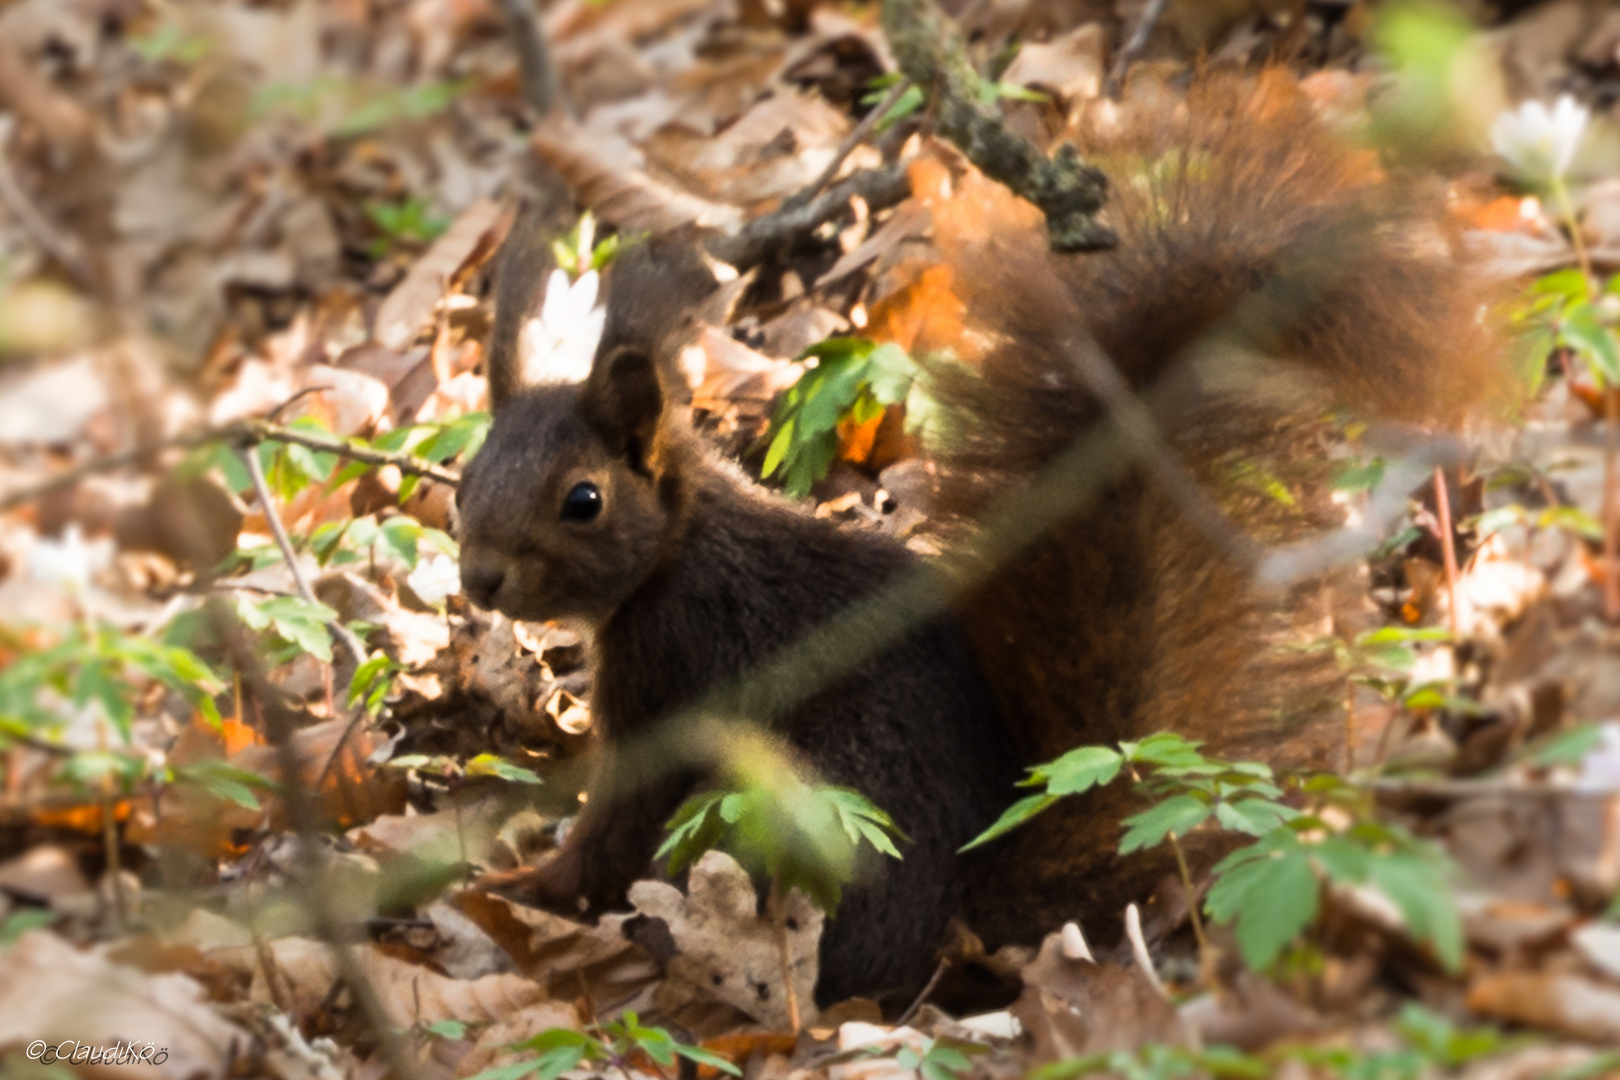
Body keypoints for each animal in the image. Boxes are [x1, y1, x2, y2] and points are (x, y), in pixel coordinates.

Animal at [453, 76, 1503, 1016]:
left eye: (582, 500)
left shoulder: (669, 670)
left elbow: (614, 826)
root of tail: (958, 919)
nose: (480, 578)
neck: (676, 550)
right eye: (464, 478)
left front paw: (519, 889)